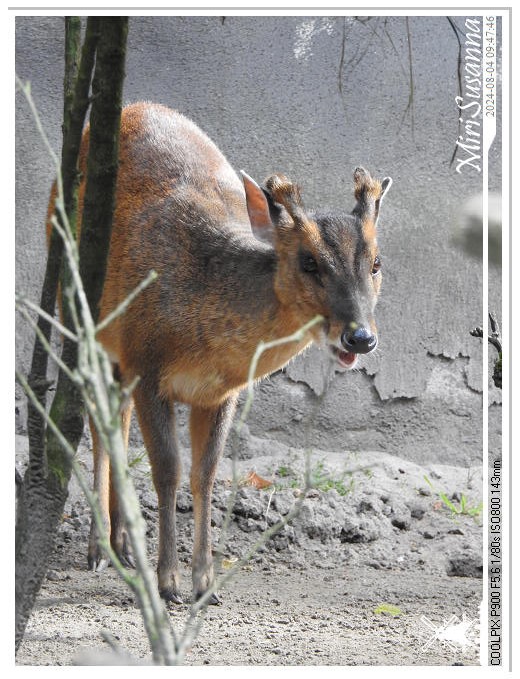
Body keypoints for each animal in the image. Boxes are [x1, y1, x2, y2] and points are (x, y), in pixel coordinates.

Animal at [51, 102, 390, 604]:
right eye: (309, 262)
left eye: (376, 263)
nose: (360, 337)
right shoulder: (147, 362)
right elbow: (168, 470)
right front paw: (168, 582)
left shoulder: (221, 392)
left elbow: (205, 474)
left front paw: (205, 583)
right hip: (74, 308)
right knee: (97, 418)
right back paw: (99, 549)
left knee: (117, 416)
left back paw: (122, 544)